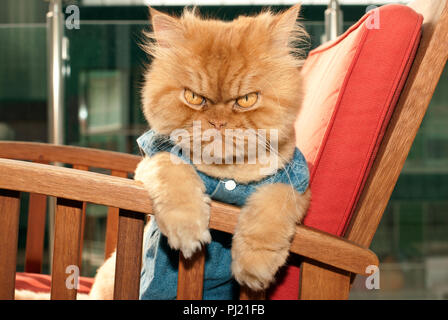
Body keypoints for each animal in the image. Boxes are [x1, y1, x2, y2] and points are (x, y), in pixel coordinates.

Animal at [13, 3, 308, 300]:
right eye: (193, 97)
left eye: (247, 100)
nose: (218, 122)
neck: (226, 178)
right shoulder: (151, 159)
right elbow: (174, 175)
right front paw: (188, 232)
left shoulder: (295, 185)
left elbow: (273, 205)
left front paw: (255, 265)